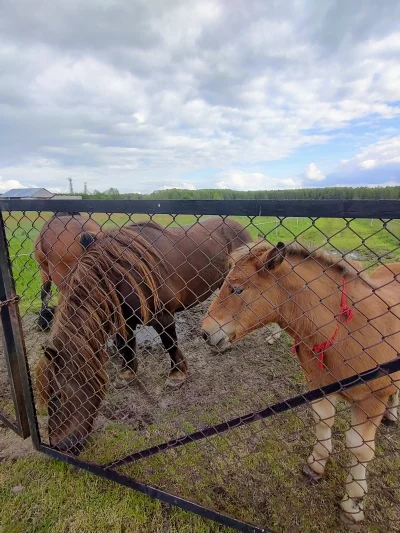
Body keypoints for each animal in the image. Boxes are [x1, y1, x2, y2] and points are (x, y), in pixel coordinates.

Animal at [36, 216, 252, 454]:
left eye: (56, 396)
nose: (59, 446)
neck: (118, 275)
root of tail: (239, 225)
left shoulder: (163, 317)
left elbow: (170, 344)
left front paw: (177, 375)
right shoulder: (125, 321)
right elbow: (127, 346)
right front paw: (127, 373)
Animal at [203, 239, 400, 524]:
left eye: (238, 288)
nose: (205, 333)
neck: (344, 332)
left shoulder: (371, 400)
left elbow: (359, 448)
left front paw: (353, 504)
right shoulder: (318, 386)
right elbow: (323, 420)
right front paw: (316, 465)